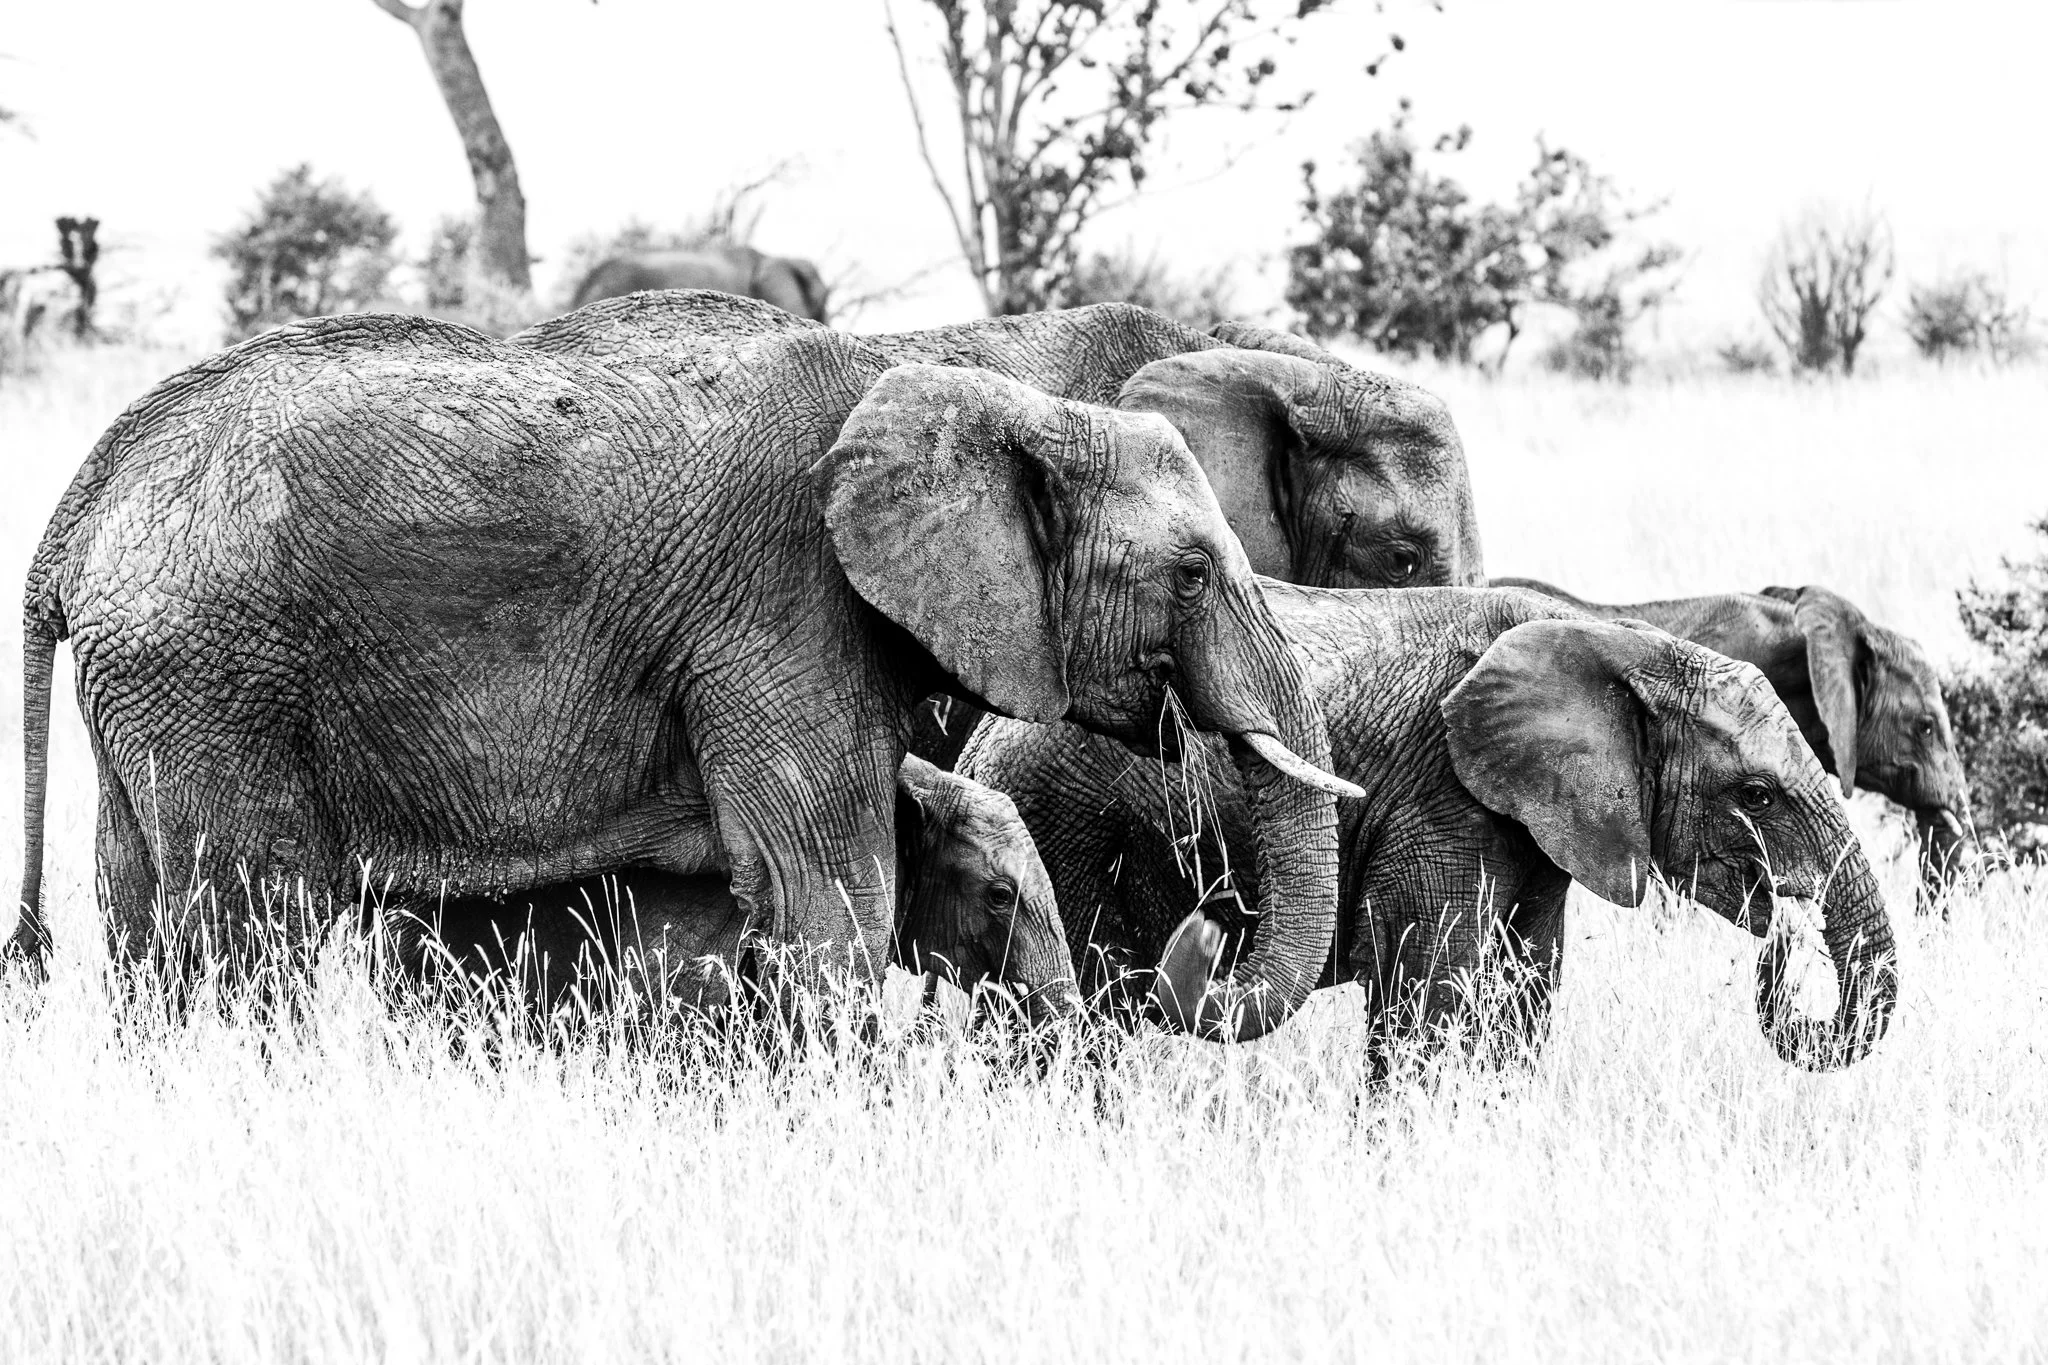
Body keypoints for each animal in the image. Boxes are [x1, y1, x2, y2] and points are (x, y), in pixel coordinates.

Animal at [957, 584, 1900, 1071]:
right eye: (1759, 795)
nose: (1784, 931)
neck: (1624, 643)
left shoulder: (1535, 821)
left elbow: (1524, 994)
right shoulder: (1442, 797)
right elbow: (1428, 996)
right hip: (1064, 829)